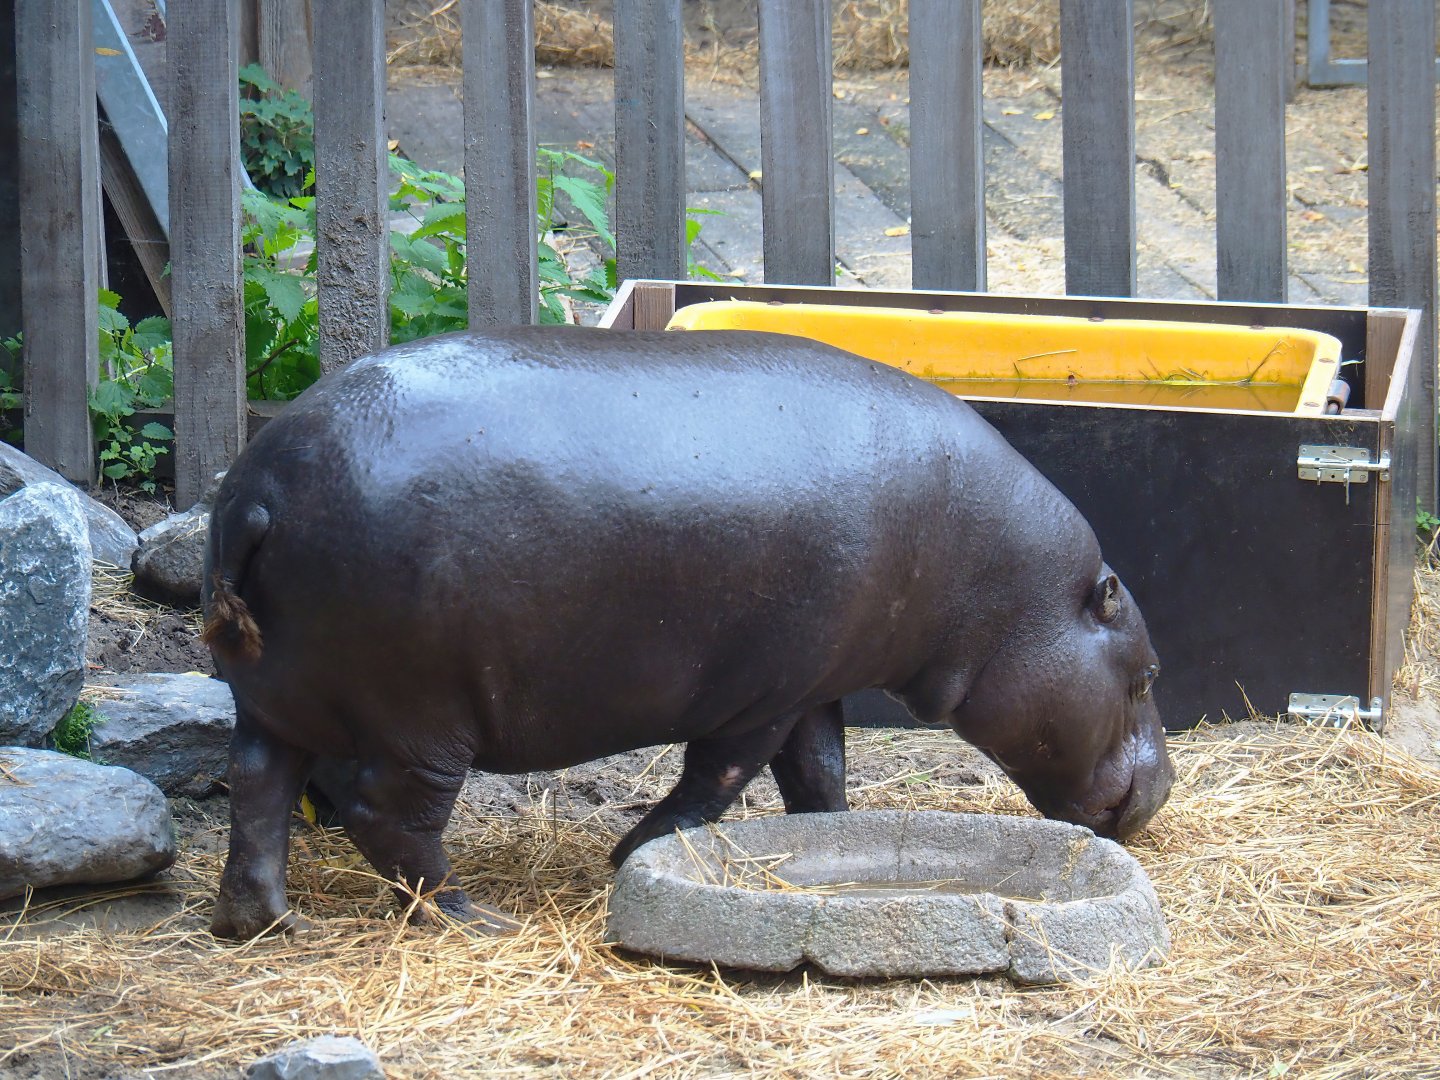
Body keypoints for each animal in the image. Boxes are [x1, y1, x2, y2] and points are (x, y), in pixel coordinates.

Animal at [202, 326, 1175, 939]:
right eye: (1147, 675)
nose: (1163, 788)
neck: (1004, 594)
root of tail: (260, 489)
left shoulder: (815, 681)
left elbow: (820, 774)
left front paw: (829, 843)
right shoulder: (764, 695)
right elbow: (722, 775)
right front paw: (633, 853)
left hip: (277, 699)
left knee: (257, 786)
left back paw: (266, 924)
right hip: (421, 725)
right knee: (388, 818)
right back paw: (476, 919)